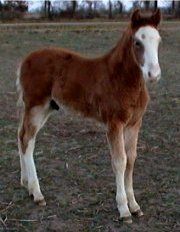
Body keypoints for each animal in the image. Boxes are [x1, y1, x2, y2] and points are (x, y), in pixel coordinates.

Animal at [16, 9, 162, 223]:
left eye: (158, 40)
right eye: (137, 42)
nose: (154, 75)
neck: (122, 79)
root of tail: (25, 60)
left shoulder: (134, 123)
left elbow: (131, 159)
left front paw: (135, 206)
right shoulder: (114, 123)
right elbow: (120, 161)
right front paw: (124, 210)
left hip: (45, 108)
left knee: (22, 137)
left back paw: (26, 183)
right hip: (36, 106)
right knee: (27, 140)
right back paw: (37, 193)